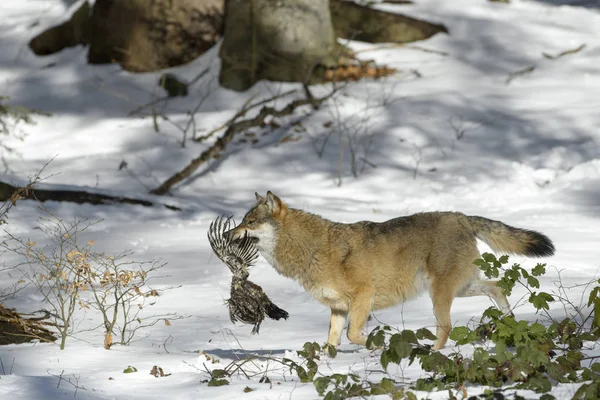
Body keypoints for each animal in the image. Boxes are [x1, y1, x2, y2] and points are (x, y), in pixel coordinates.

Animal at [225, 191, 552, 350]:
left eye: (250, 223)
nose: (227, 234)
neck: (312, 250)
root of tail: (461, 217)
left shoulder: (363, 296)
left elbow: (355, 335)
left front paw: (378, 345)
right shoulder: (338, 309)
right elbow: (331, 342)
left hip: (440, 295)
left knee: (446, 327)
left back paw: (432, 352)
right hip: (460, 288)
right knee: (497, 287)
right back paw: (510, 322)